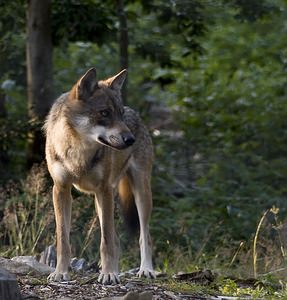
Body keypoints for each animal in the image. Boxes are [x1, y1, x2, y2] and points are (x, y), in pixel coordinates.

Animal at [45, 67, 156, 284]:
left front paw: (108, 274)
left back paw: (145, 270)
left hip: (139, 193)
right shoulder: (61, 189)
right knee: (117, 239)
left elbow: (106, 242)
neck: (79, 149)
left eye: (120, 114)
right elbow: (63, 239)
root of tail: (136, 114)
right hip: (100, 201)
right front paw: (60, 272)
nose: (130, 139)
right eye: (104, 113)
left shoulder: (104, 190)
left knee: (144, 236)